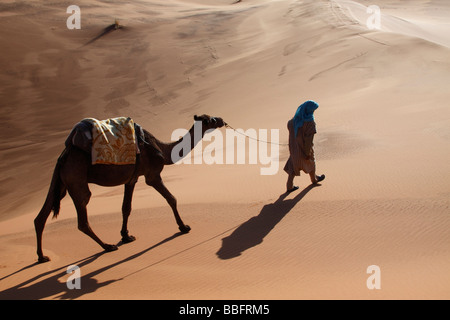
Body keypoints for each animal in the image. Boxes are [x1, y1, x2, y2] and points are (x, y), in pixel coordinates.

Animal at [34, 114, 225, 262]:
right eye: (210, 119)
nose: (221, 120)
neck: (163, 149)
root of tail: (64, 155)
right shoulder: (152, 175)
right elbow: (171, 198)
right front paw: (183, 227)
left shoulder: (131, 179)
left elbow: (126, 208)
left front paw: (126, 236)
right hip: (76, 179)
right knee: (82, 219)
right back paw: (107, 246)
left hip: (59, 181)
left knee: (41, 217)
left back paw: (42, 257)